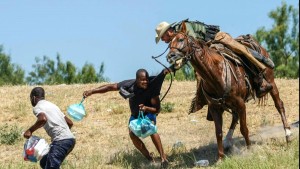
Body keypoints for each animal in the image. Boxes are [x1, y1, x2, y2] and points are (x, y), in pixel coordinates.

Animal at [166, 22, 290, 160]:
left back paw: (288, 135)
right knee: (235, 117)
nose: (170, 56)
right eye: (169, 44)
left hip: (271, 82)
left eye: (181, 39)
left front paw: (249, 150)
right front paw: (220, 157)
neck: (216, 73)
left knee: (279, 105)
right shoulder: (215, 107)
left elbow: (244, 128)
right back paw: (227, 141)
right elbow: (218, 132)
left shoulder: (240, 103)